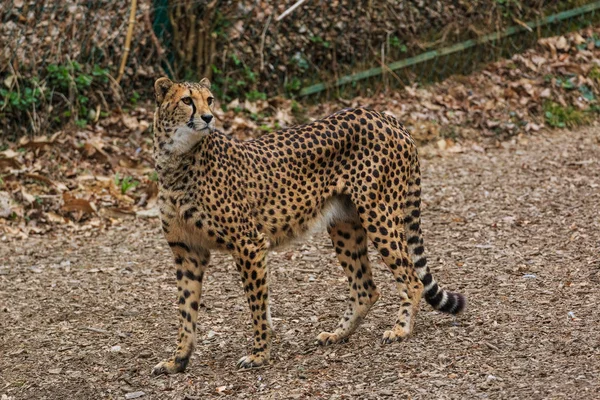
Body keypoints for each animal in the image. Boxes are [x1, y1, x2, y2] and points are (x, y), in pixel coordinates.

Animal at [149, 77, 464, 376]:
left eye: (210, 99)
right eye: (187, 100)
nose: (208, 117)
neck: (176, 159)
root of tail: (385, 116)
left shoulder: (249, 244)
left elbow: (256, 305)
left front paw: (259, 354)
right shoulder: (188, 252)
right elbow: (186, 311)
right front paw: (177, 360)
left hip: (378, 215)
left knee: (411, 279)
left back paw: (401, 329)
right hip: (344, 225)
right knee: (366, 288)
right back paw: (337, 334)